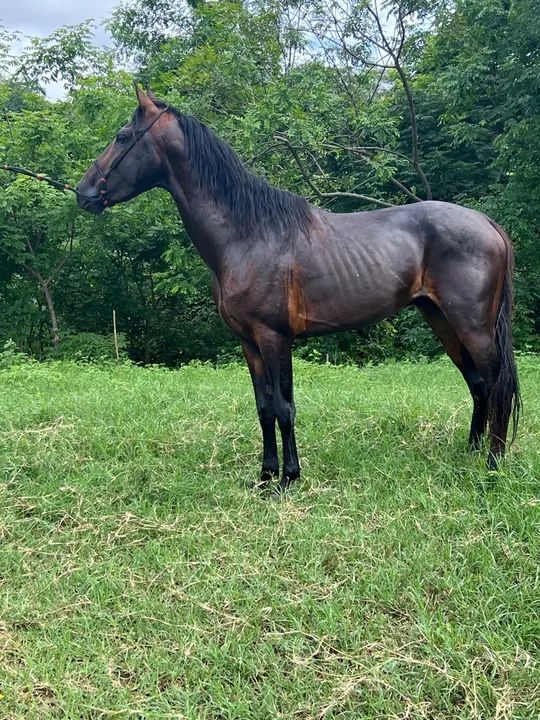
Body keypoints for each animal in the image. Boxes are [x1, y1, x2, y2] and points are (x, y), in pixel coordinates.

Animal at [77, 86, 521, 493]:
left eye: (122, 136)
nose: (84, 193)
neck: (248, 234)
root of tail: (488, 224)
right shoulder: (249, 343)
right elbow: (263, 408)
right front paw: (264, 476)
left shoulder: (275, 337)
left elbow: (284, 406)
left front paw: (288, 478)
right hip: (440, 319)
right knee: (479, 383)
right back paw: (471, 452)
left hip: (472, 325)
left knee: (496, 383)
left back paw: (492, 466)